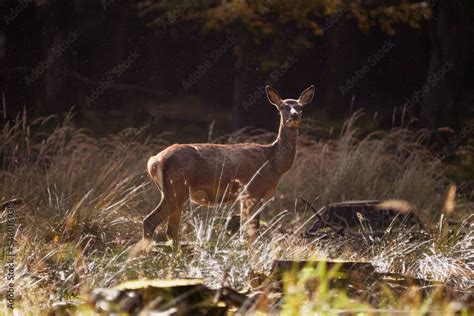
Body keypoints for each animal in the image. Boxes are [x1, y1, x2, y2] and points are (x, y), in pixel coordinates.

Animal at [143, 85, 316, 246]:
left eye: (300, 107)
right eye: (282, 107)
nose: (294, 115)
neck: (274, 164)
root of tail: (154, 161)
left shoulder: (248, 197)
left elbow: (247, 231)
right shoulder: (253, 191)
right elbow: (251, 232)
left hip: (173, 192)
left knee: (171, 230)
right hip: (176, 188)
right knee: (151, 221)